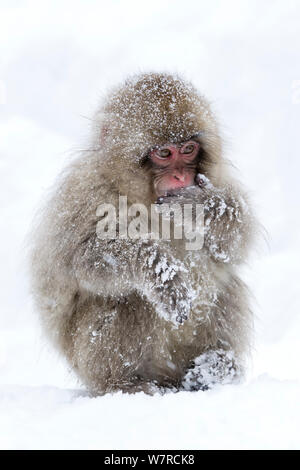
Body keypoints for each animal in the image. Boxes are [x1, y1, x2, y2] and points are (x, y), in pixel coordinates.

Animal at [29, 72, 255, 396]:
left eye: (188, 149)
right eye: (164, 153)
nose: (180, 177)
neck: (143, 198)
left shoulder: (217, 179)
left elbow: (235, 242)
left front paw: (202, 207)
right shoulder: (83, 193)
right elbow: (78, 259)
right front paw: (159, 270)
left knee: (224, 284)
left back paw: (215, 368)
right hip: (88, 361)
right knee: (131, 298)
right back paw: (126, 383)